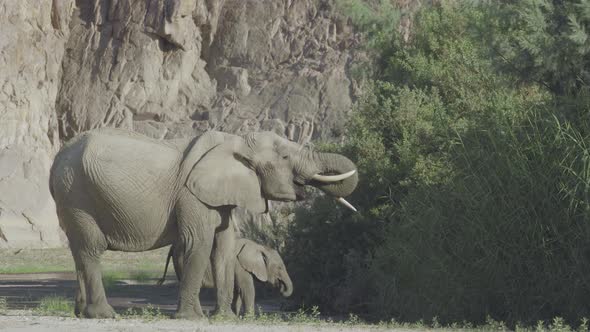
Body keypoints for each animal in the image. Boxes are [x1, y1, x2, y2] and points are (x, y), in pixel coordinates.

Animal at [158, 237, 294, 316]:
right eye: (280, 268)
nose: (282, 288)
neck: (259, 247)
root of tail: (172, 246)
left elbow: (236, 290)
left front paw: (235, 316)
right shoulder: (238, 264)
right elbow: (246, 288)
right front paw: (248, 318)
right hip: (182, 259)